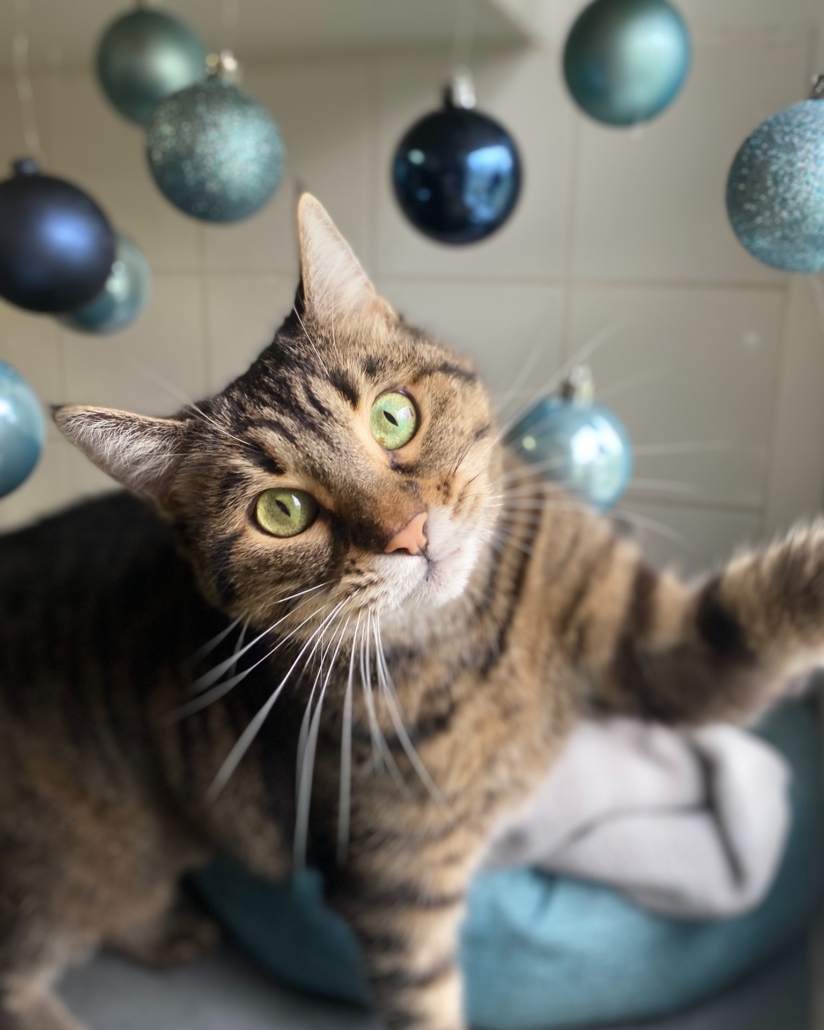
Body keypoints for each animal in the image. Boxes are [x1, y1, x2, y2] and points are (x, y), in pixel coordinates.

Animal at [1, 193, 822, 1030]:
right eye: (282, 511)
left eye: (393, 416)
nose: (410, 533)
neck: (471, 640)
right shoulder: (399, 884)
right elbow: (425, 1001)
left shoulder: (667, 645)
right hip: (54, 887)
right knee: (20, 977)